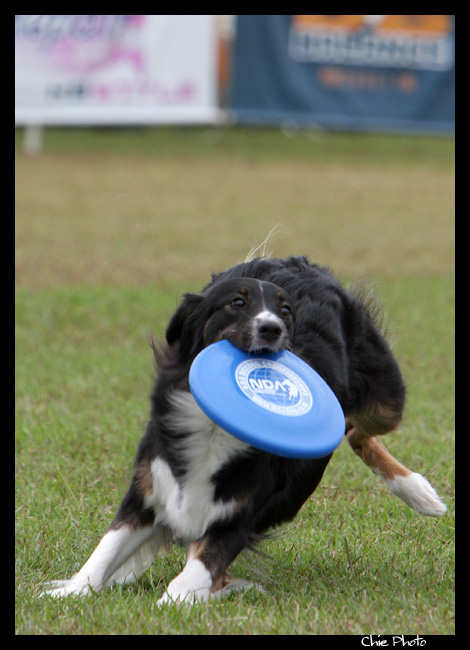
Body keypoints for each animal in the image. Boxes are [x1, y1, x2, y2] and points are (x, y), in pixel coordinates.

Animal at [43, 254, 444, 604]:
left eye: (285, 312)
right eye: (237, 303)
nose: (272, 328)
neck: (212, 428)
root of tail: (297, 262)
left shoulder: (236, 519)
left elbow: (187, 580)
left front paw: (192, 596)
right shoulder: (146, 492)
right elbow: (105, 550)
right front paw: (71, 590)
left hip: (386, 397)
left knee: (358, 430)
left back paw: (419, 492)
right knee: (350, 429)